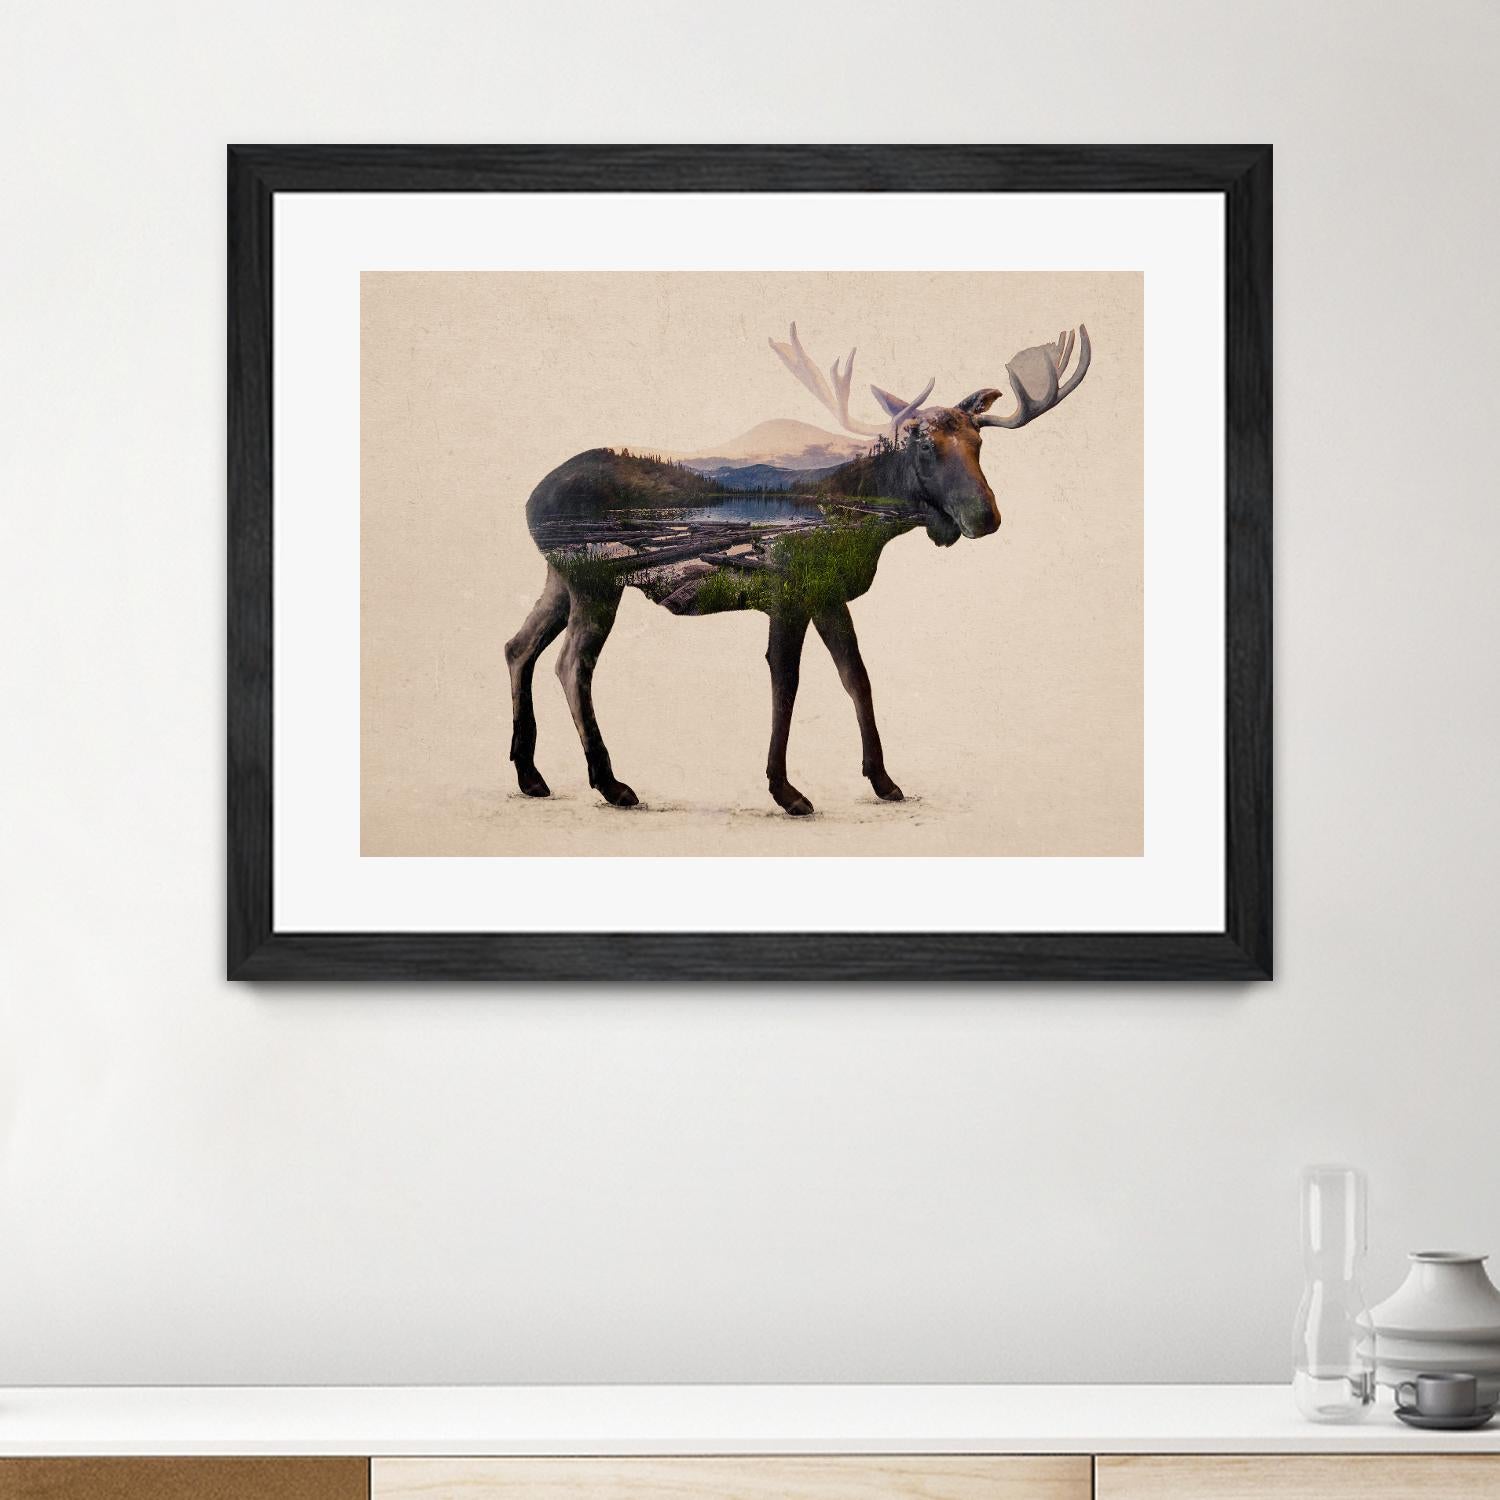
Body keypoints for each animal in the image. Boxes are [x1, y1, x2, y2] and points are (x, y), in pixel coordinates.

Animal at [506, 322, 1091, 816]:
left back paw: (531, 776)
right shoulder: (788, 594)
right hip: (594, 580)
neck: (869, 526)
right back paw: (611, 784)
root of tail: (529, 499)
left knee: (519, 646)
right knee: (571, 665)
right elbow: (786, 683)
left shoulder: (829, 595)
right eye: (924, 443)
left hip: (559, 578)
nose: (984, 516)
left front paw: (884, 781)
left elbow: (857, 678)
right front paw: (786, 790)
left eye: (979, 441)